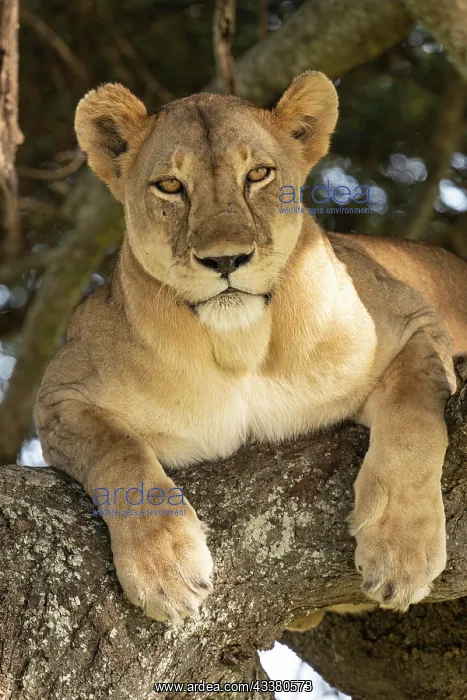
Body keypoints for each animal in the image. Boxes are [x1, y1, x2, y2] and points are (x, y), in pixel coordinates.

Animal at [34, 72, 467, 626]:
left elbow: (414, 417)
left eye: (258, 174)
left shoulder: (411, 319)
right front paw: (164, 566)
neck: (238, 344)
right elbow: (119, 452)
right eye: (170, 185)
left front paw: (401, 551)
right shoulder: (61, 393)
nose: (226, 260)